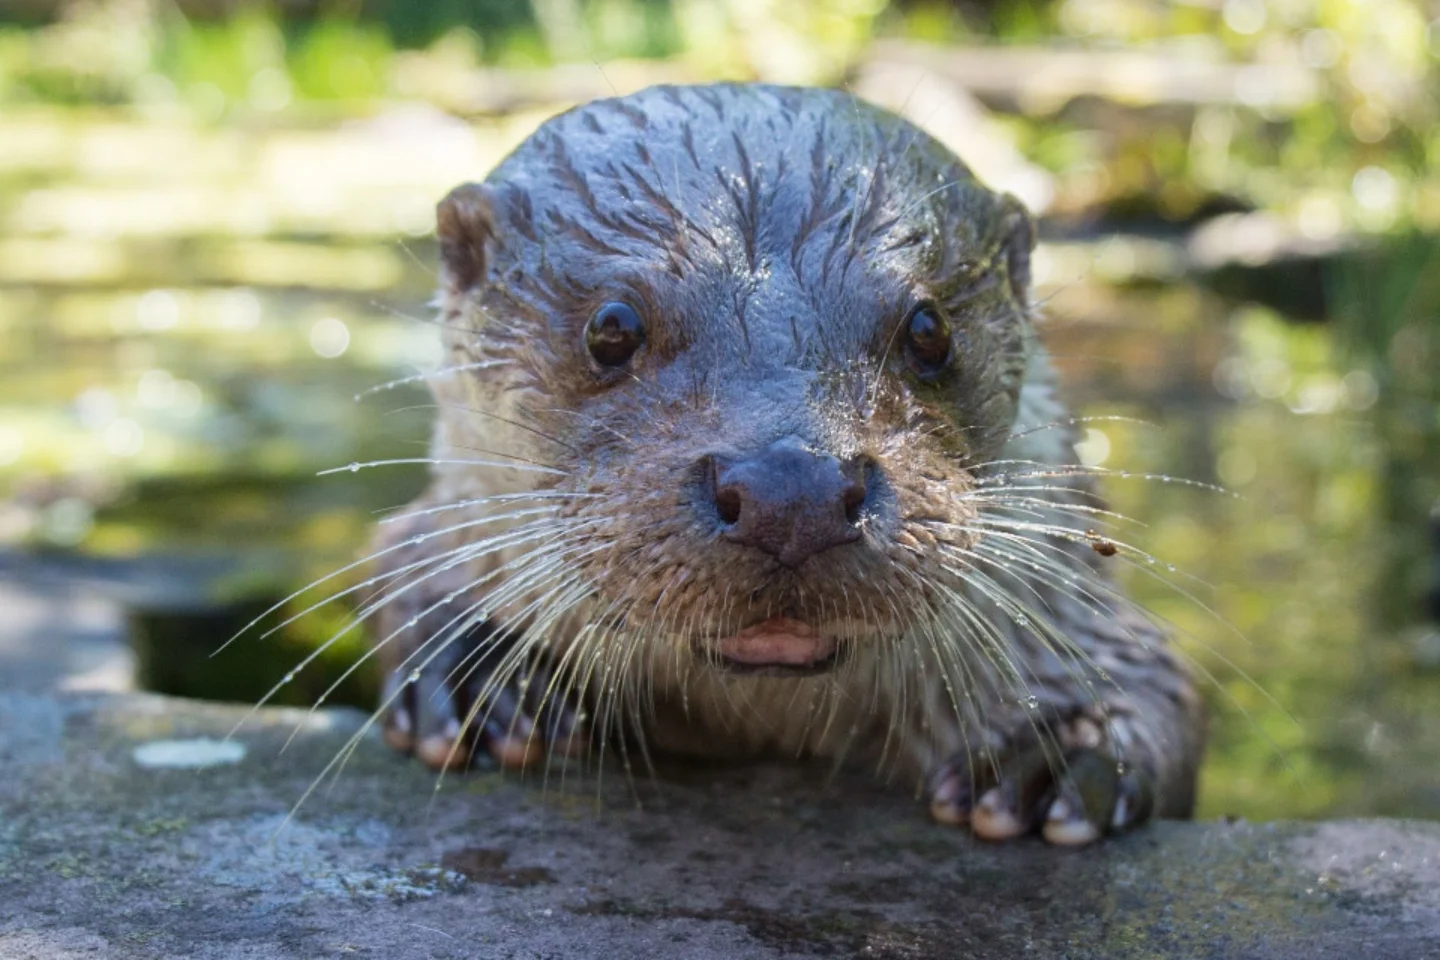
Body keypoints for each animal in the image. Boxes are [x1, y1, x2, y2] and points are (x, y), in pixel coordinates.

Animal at [362, 84, 1203, 846]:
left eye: (930, 328)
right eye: (611, 327)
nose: (792, 493)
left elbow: (1153, 677)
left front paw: (1061, 743)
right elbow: (397, 557)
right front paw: (478, 665)